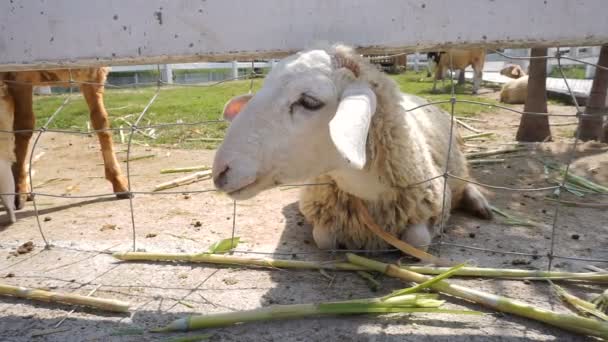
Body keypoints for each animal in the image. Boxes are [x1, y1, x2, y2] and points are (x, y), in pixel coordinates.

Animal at [211, 43, 492, 251]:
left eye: (309, 101)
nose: (220, 172)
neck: (366, 190)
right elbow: (323, 239)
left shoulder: (436, 199)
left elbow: (418, 241)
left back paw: (481, 205)